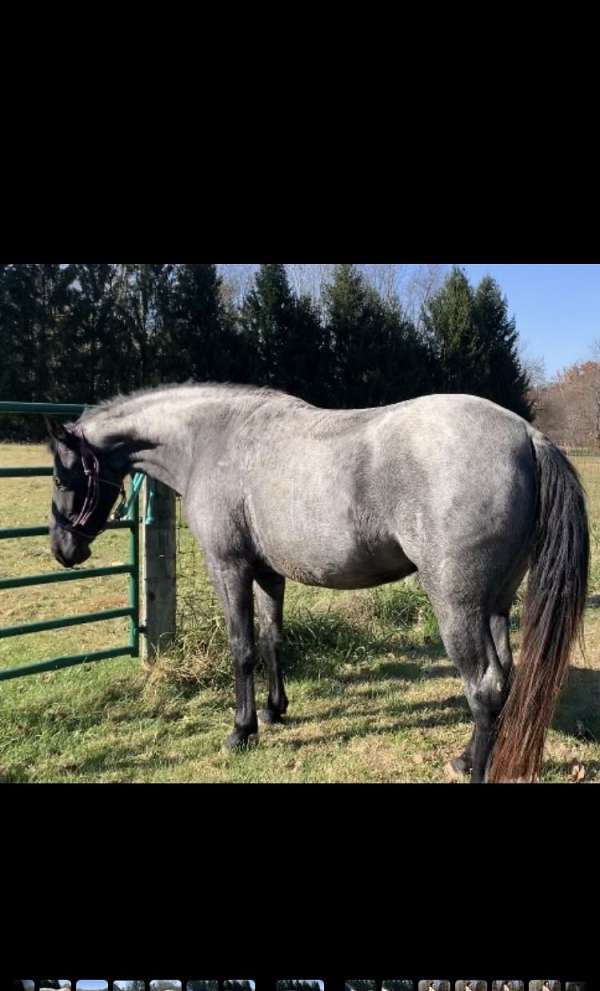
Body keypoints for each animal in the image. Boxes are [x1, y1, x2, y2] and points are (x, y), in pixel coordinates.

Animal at [45, 382, 589, 782]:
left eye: (59, 475)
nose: (62, 549)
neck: (212, 440)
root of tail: (527, 435)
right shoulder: (268, 574)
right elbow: (271, 640)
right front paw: (273, 710)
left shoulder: (230, 567)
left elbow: (241, 648)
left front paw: (241, 730)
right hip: (494, 602)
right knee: (505, 678)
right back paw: (473, 756)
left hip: (457, 606)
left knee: (484, 686)